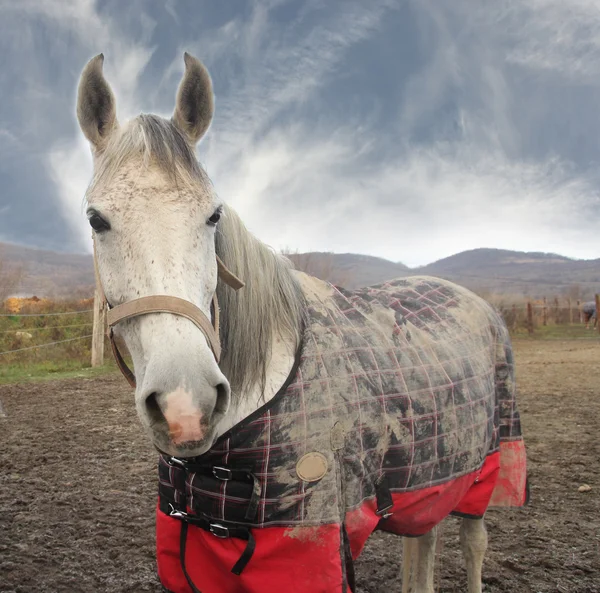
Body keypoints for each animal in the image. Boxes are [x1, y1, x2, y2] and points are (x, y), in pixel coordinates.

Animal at [77, 53, 528, 588]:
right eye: (96, 220)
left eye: (213, 215)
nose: (185, 406)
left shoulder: (308, 553)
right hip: (428, 483)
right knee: (423, 545)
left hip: (486, 469)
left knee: (473, 542)